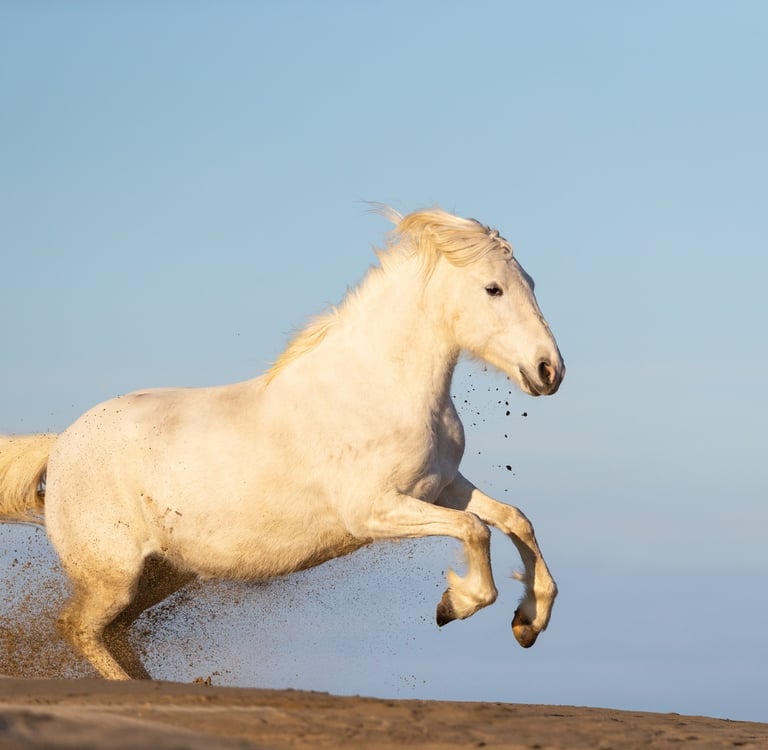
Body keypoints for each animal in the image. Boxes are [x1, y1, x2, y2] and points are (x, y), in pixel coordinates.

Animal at [0, 207, 565, 680]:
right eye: (493, 288)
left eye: (530, 283)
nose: (549, 371)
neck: (377, 388)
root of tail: (59, 446)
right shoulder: (374, 511)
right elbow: (475, 530)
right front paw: (455, 604)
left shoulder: (441, 487)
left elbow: (513, 519)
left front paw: (528, 622)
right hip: (113, 576)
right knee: (79, 628)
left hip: (161, 574)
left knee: (112, 631)